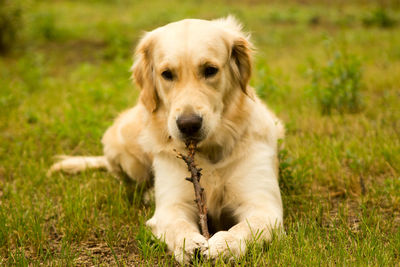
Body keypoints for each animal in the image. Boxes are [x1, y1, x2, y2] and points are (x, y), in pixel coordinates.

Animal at [50, 16, 284, 264]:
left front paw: (224, 245)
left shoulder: (264, 207)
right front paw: (188, 244)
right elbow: (176, 224)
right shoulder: (173, 206)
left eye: (210, 70)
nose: (188, 124)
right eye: (167, 74)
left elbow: (247, 227)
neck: (209, 151)